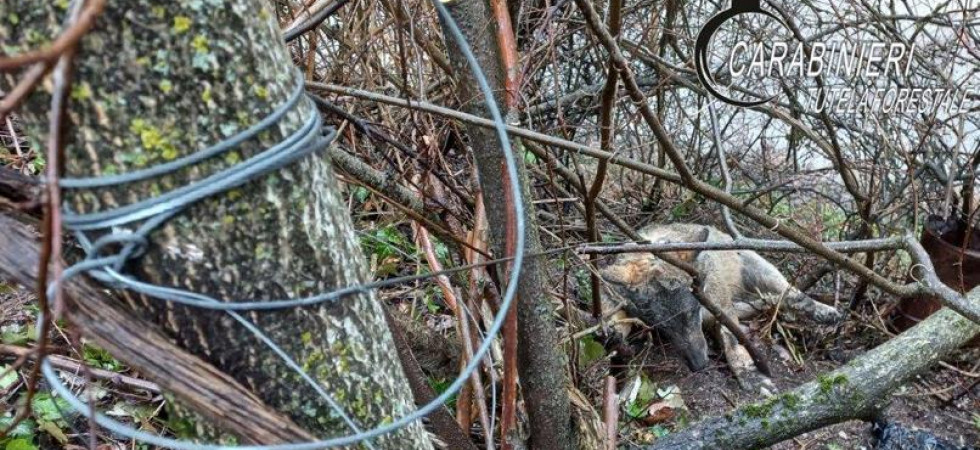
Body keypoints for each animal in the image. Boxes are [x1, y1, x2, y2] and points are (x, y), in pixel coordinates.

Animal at [601, 224, 841, 388]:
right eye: (661, 327)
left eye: (692, 313)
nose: (699, 365)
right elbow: (615, 315)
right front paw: (612, 331)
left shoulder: (721, 310)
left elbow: (733, 342)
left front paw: (748, 374)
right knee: (767, 303)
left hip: (763, 274)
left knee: (791, 295)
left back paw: (824, 311)